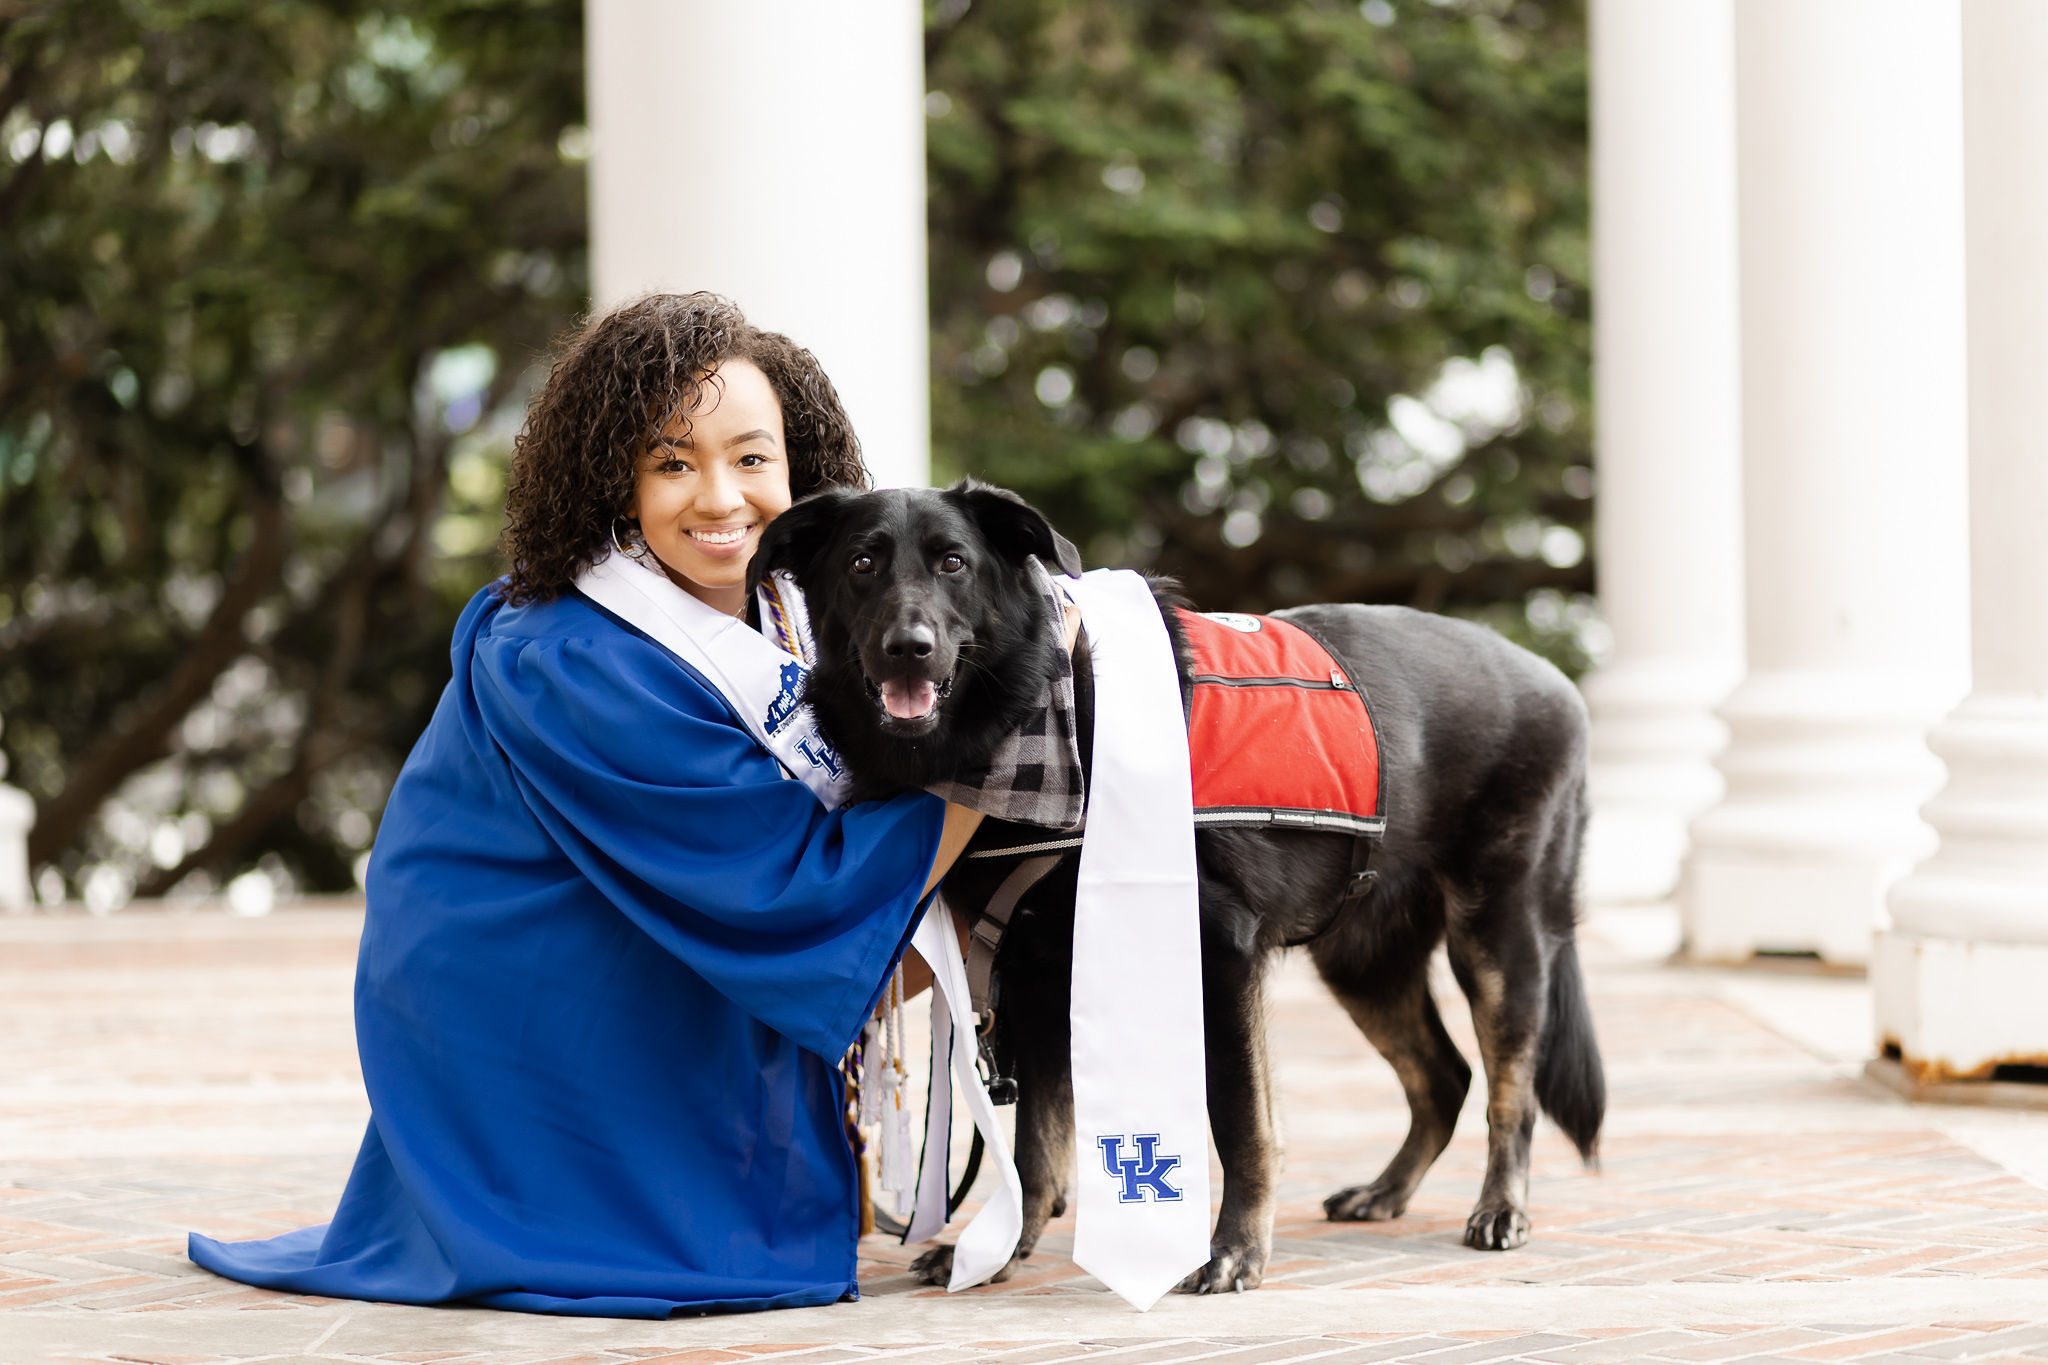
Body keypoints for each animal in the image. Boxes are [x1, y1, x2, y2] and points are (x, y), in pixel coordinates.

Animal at [753, 478, 1597, 1293]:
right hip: (1364, 965)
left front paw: (1235, 1250)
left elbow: (1239, 1120)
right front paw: (1000, 1253)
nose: (909, 649)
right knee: (1445, 1077)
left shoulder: (1219, 957)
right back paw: (1386, 1190)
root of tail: (1555, 680)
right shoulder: (1035, 973)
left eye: (953, 562)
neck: (1045, 711)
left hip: (1497, 943)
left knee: (1509, 1088)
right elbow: (1037, 1141)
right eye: (863, 563)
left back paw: (1502, 1207)